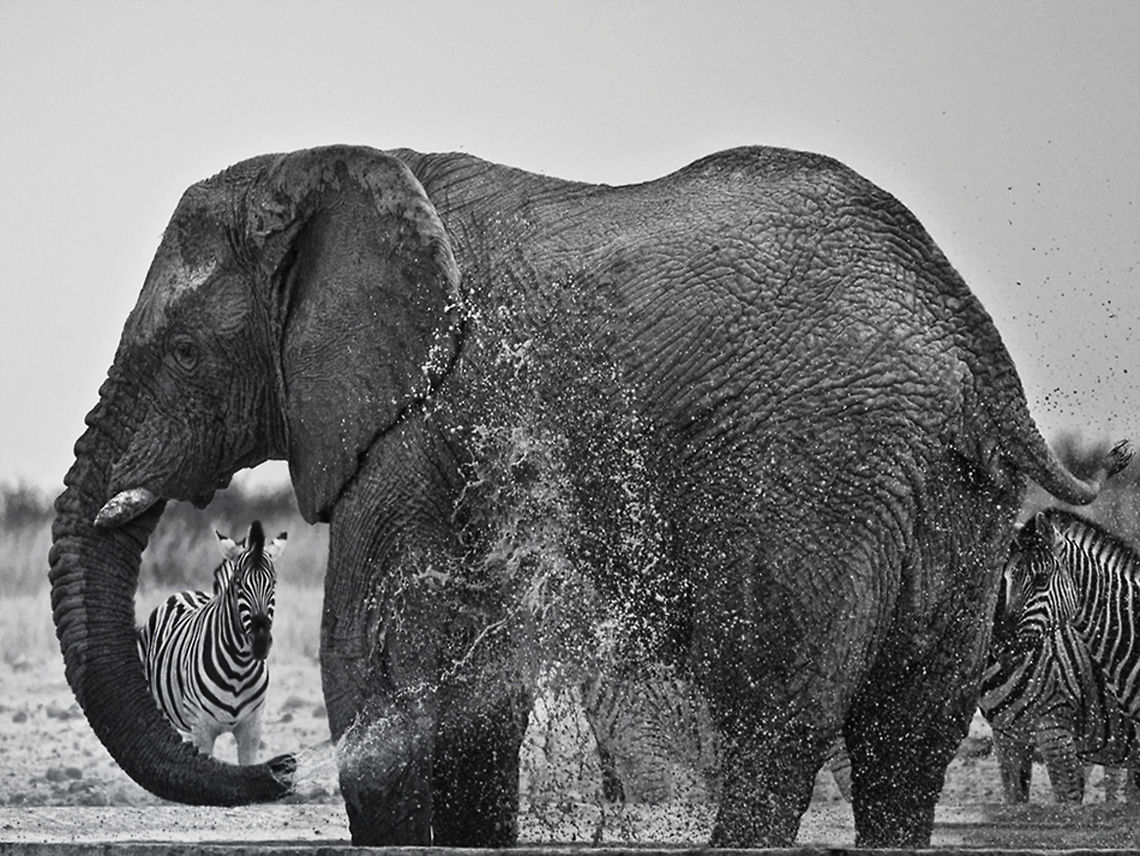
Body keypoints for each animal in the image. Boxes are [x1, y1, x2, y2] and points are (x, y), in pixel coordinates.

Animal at [137, 520, 287, 765]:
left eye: (273, 583)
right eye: (238, 583)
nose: (261, 643)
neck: (239, 669)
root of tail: (186, 592)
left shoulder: (252, 728)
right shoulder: (202, 729)